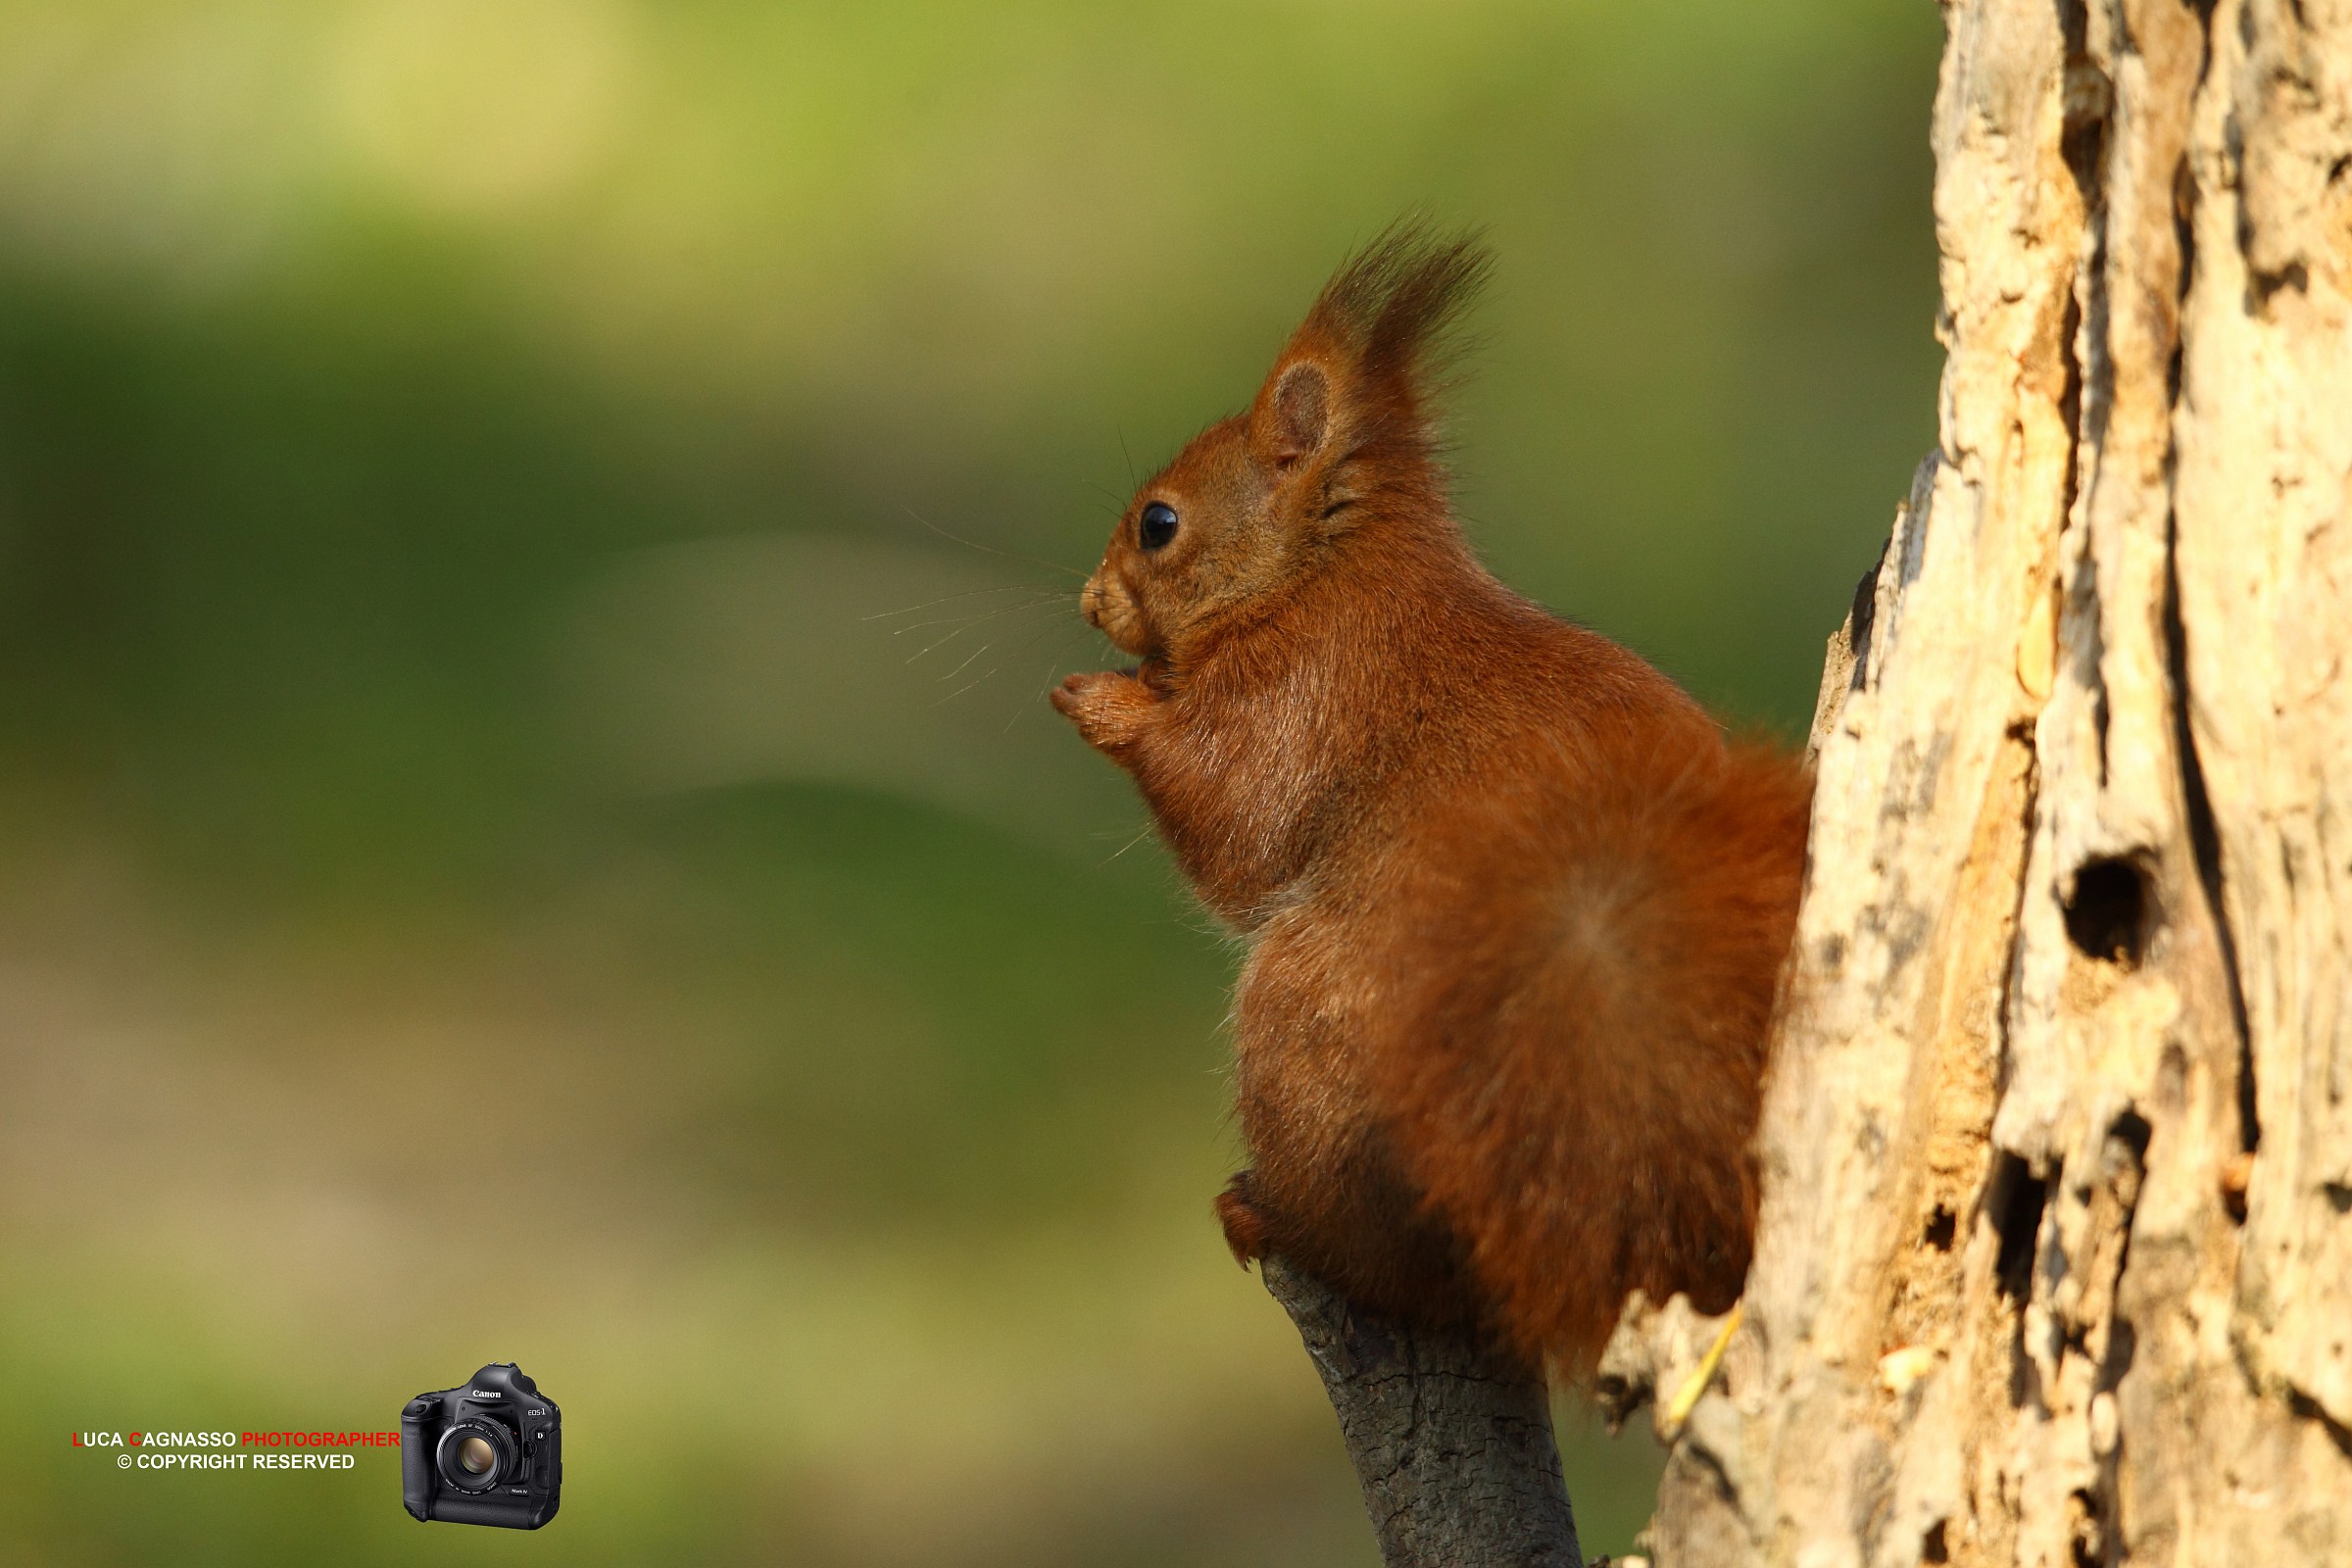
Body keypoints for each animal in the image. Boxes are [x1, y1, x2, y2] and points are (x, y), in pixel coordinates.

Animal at [1050, 225, 1811, 1372]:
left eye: (1159, 523)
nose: (1092, 602)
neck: (1324, 575)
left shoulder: (1304, 691)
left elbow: (1235, 823)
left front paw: (1102, 701)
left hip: (1307, 1037)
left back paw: (1277, 1222)